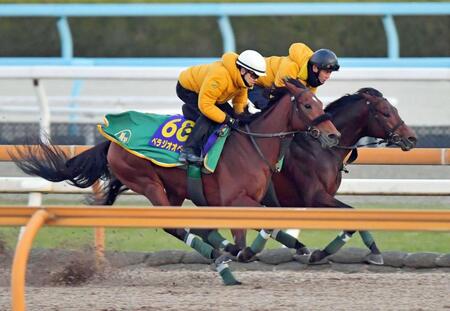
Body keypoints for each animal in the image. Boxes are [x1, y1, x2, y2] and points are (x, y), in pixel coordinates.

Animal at [12, 79, 340, 286]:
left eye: (320, 101)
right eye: (307, 105)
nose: (333, 135)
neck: (252, 144)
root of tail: (113, 139)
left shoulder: (252, 199)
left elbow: (258, 230)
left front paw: (300, 250)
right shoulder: (235, 200)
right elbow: (254, 232)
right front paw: (240, 251)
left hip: (175, 191)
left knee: (189, 226)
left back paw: (221, 255)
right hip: (147, 182)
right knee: (175, 226)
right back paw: (218, 257)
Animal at [236, 88, 418, 266]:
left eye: (395, 110)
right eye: (386, 113)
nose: (411, 137)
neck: (322, 149)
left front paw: (374, 251)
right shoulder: (315, 197)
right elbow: (351, 214)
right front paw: (320, 254)